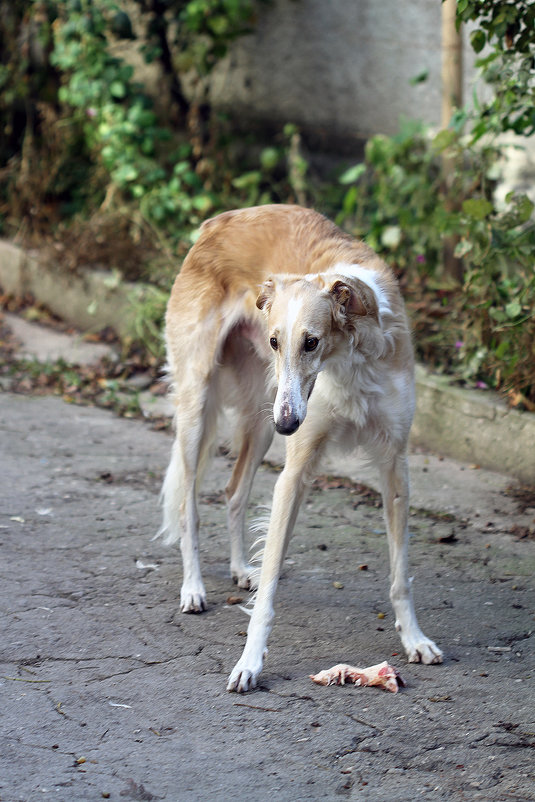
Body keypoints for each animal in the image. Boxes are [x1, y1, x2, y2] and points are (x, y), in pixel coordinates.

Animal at [160, 205, 444, 688]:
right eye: (276, 341)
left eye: (311, 342)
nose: (289, 424)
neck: (352, 357)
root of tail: (215, 222)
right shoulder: (294, 472)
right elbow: (270, 587)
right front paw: (249, 662)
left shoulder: (394, 464)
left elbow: (400, 576)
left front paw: (414, 639)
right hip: (207, 404)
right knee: (189, 507)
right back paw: (193, 588)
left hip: (262, 416)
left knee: (233, 492)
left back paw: (240, 569)